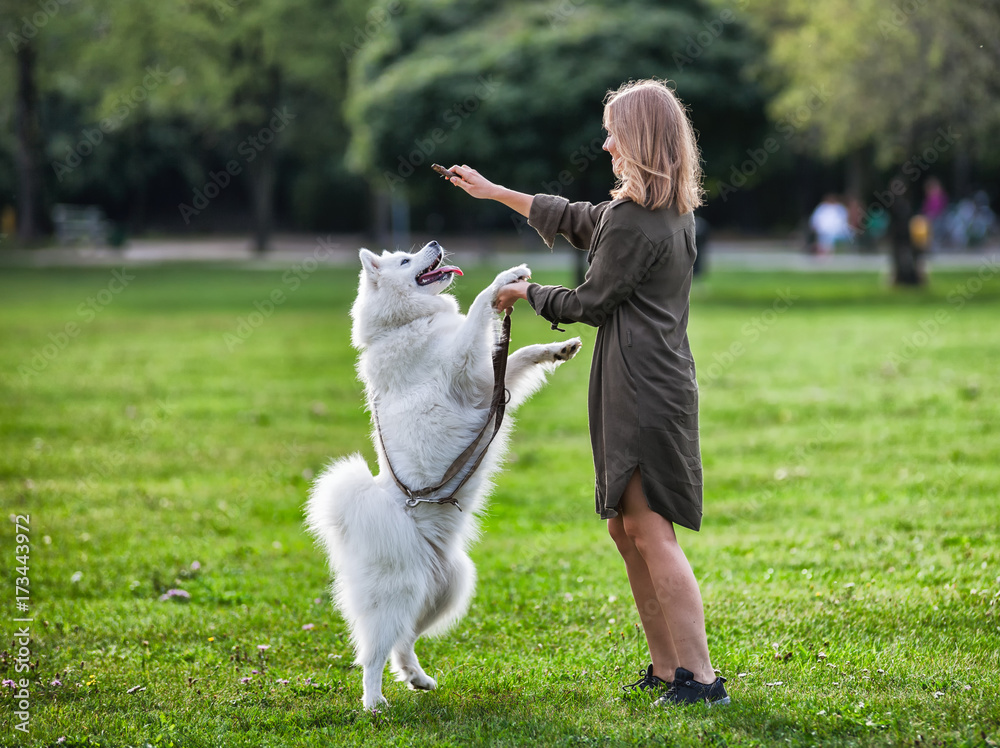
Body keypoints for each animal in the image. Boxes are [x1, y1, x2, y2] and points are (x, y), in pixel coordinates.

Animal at [308, 241, 584, 712]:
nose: (435, 245)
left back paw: (417, 678)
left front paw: (558, 348)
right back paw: (373, 702)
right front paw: (506, 279)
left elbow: (517, 354)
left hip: (446, 591)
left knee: (403, 641)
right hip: (397, 596)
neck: (407, 323)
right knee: (373, 653)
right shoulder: (464, 369)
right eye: (405, 260)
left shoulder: (488, 386)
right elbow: (479, 310)